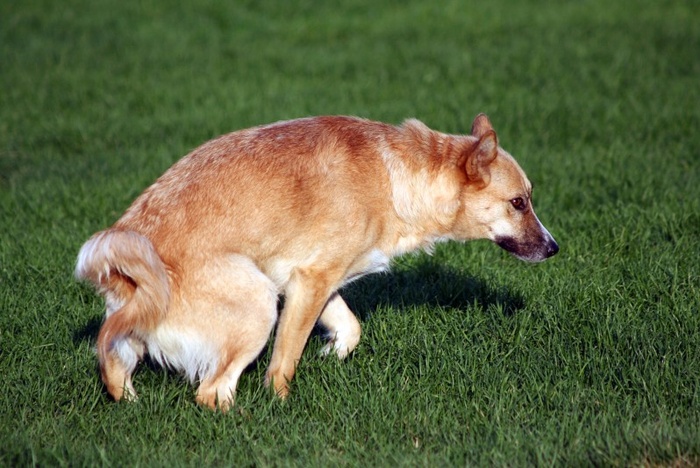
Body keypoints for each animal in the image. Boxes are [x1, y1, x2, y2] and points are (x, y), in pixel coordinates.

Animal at [75, 114, 556, 410]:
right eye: (518, 202)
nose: (553, 248)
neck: (398, 177)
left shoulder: (310, 283)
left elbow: (351, 328)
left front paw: (330, 353)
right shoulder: (308, 283)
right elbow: (284, 362)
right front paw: (282, 404)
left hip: (137, 334)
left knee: (115, 371)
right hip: (258, 305)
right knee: (210, 393)